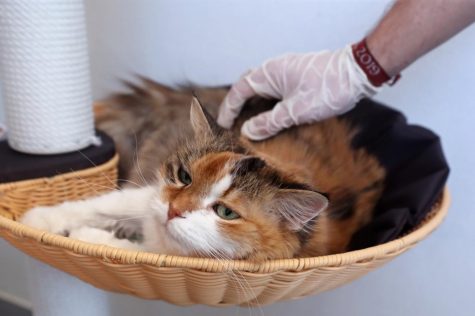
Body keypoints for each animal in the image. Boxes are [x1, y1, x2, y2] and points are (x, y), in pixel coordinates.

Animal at [21, 77, 386, 262]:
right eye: (184, 177)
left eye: (225, 212)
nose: (173, 210)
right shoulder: (149, 193)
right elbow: (96, 206)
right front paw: (38, 219)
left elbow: (124, 245)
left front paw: (84, 237)